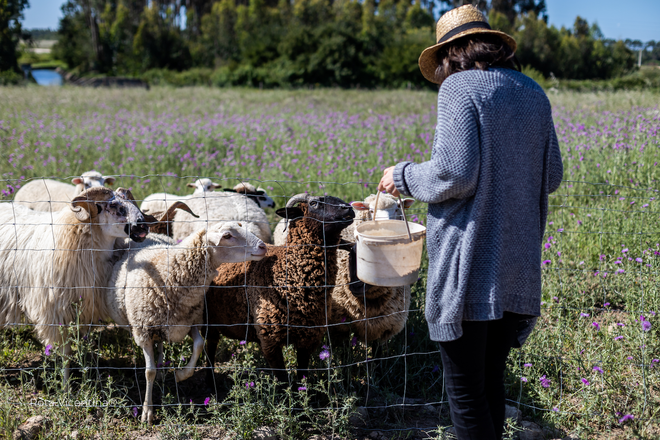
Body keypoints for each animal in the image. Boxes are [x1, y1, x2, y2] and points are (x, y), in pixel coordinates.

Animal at [105, 222, 266, 424]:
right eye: (227, 235)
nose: (263, 246)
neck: (170, 276)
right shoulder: (143, 331)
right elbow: (148, 372)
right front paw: (147, 412)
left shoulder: (190, 322)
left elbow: (198, 345)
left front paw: (180, 375)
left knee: (161, 344)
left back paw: (162, 370)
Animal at [204, 194, 356, 386]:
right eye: (314, 203)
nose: (349, 209)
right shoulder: (270, 340)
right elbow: (283, 381)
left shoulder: (308, 337)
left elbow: (301, 374)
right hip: (207, 322)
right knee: (209, 349)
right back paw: (210, 381)